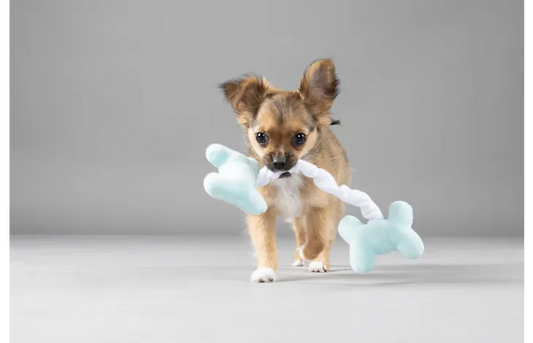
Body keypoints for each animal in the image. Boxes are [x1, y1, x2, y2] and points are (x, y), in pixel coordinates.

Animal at [218, 59, 352, 284]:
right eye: (261, 137)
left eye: (299, 138)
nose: (279, 162)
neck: (287, 179)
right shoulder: (261, 213)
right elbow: (265, 243)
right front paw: (266, 270)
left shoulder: (320, 206)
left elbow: (320, 238)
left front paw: (311, 254)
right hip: (298, 217)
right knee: (301, 232)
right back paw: (299, 258)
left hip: (334, 206)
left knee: (326, 236)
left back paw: (318, 262)